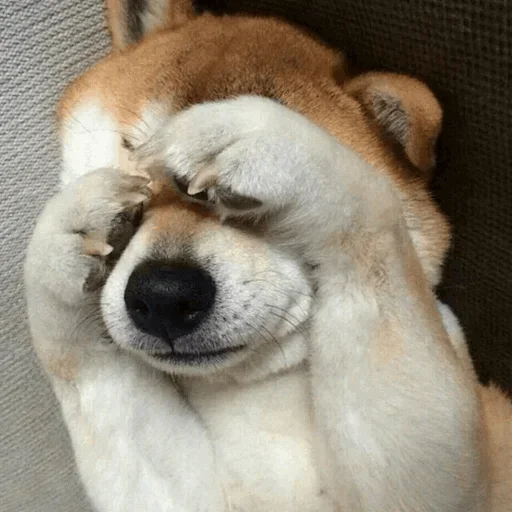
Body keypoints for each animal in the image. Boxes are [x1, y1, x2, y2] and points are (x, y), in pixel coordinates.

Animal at [24, 1, 512, 511]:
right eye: (132, 151)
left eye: (247, 203)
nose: (164, 295)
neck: (255, 393)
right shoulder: (189, 494)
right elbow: (79, 361)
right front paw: (60, 246)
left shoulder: (435, 476)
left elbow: (370, 207)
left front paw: (276, 147)